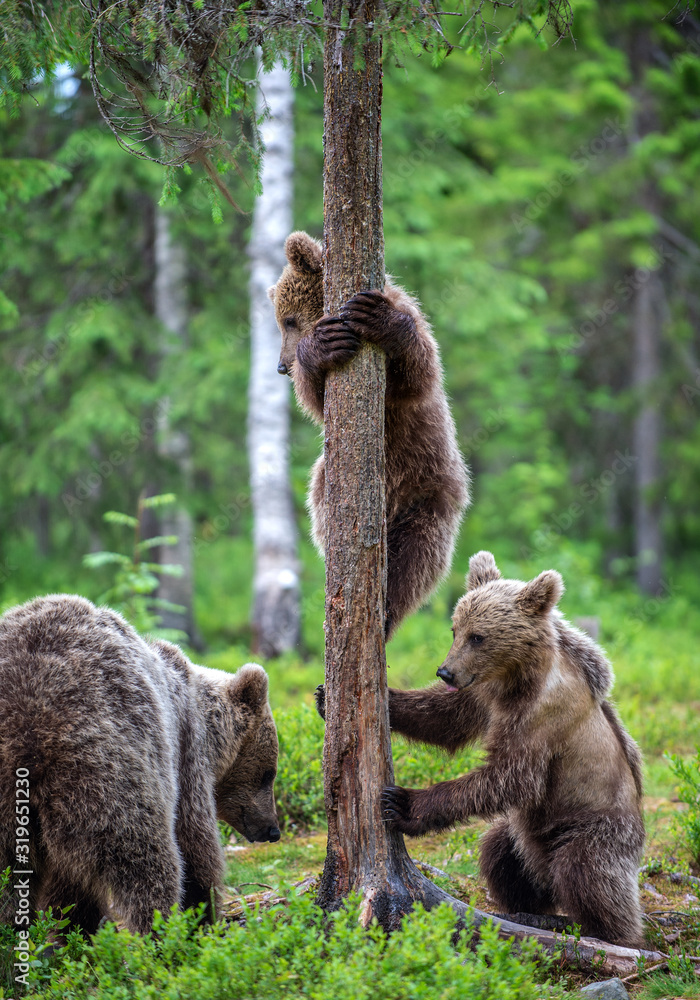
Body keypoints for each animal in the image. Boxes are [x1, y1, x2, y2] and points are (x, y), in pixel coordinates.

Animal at [0, 595, 280, 936]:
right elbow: (195, 842)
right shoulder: (184, 755)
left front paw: (71, 933)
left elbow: (68, 888)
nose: (273, 829)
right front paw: (202, 913)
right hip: (107, 767)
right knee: (146, 861)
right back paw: (162, 934)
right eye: (268, 774)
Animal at [269, 232, 470, 639]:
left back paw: (387, 612)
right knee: (323, 509)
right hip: (328, 482)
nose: (281, 366)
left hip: (429, 494)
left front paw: (379, 320)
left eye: (289, 319)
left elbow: (418, 372)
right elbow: (316, 397)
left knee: (415, 561)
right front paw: (323, 344)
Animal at [377, 552, 645, 946]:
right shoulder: (484, 692)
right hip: (528, 834)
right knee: (499, 850)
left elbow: (509, 777)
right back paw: (527, 908)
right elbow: (446, 719)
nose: (445, 672)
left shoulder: (540, 718)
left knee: (586, 871)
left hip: (597, 827)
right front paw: (339, 696)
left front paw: (402, 803)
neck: (516, 676)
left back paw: (603, 932)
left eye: (478, 636)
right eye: (455, 629)